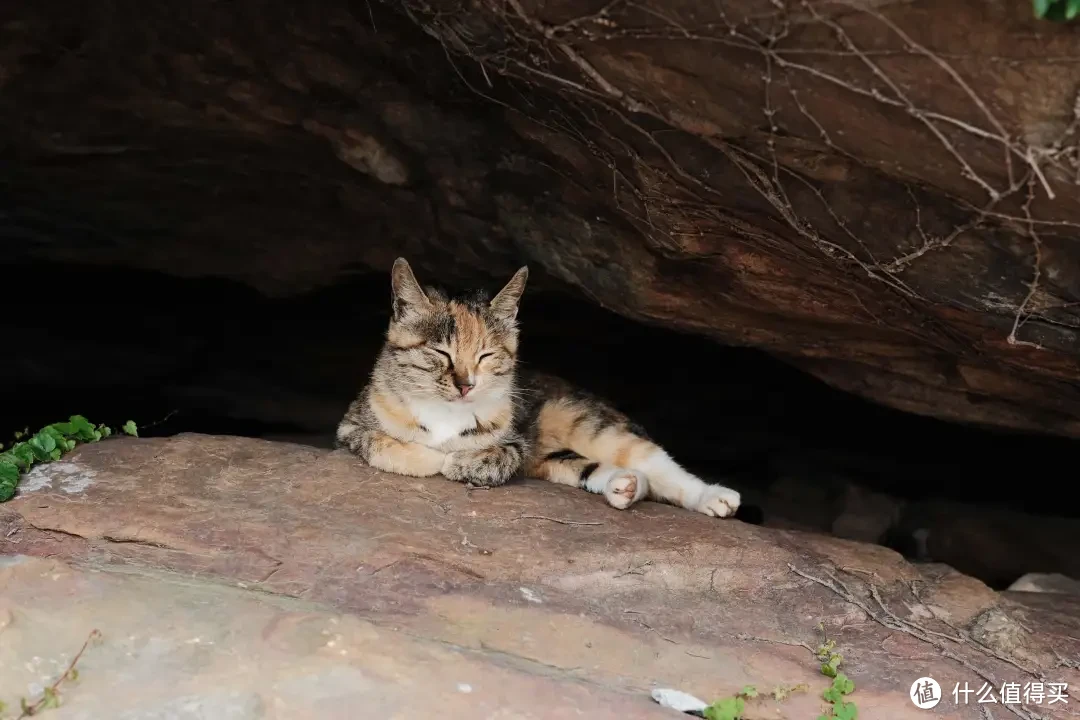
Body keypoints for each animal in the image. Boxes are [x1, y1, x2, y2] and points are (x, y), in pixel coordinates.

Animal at [334, 259, 743, 518]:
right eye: (440, 352)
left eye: (485, 355)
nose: (466, 385)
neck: (446, 412)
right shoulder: (350, 426)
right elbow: (384, 444)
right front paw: (431, 456)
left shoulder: (516, 442)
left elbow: (491, 456)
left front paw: (457, 460)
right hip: (556, 457)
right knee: (596, 469)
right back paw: (624, 487)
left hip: (583, 419)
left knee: (653, 461)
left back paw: (715, 498)